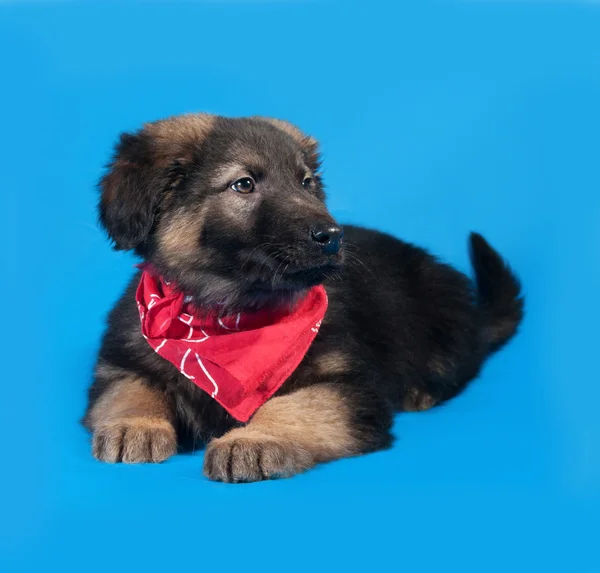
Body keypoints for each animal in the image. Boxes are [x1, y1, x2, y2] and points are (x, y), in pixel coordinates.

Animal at [82, 115, 524, 482]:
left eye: (306, 182)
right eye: (244, 184)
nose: (333, 237)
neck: (224, 314)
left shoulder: (346, 388)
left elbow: (292, 406)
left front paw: (253, 439)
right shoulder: (120, 363)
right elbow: (130, 390)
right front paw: (134, 424)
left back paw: (421, 391)